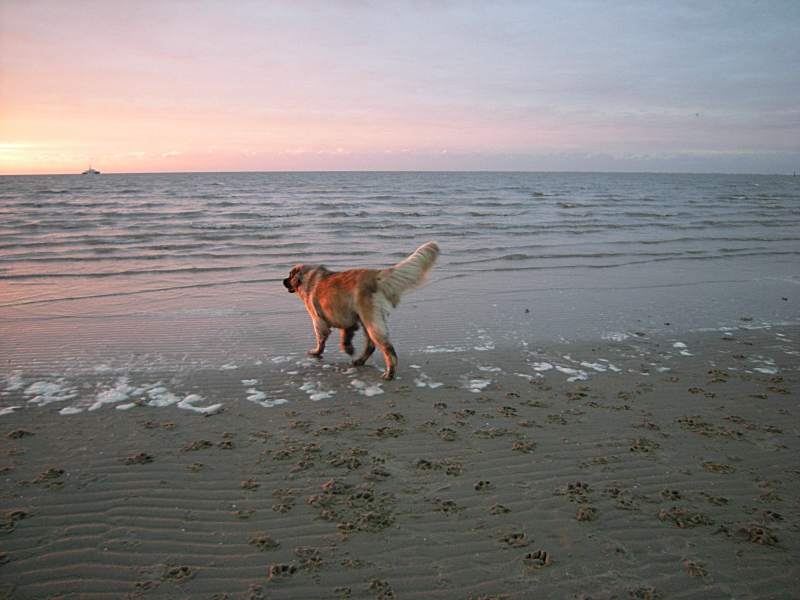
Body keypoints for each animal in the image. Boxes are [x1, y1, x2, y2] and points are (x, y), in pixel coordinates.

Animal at [282, 240, 438, 378]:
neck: (307, 278)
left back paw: (389, 373)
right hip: (366, 320)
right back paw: (360, 361)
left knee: (387, 348)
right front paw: (348, 348)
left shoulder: (318, 320)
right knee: (371, 345)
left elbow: (321, 339)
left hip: (371, 321)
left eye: (289, 275)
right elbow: (346, 334)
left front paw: (316, 352)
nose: (283, 281)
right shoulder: (347, 318)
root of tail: (375, 275)